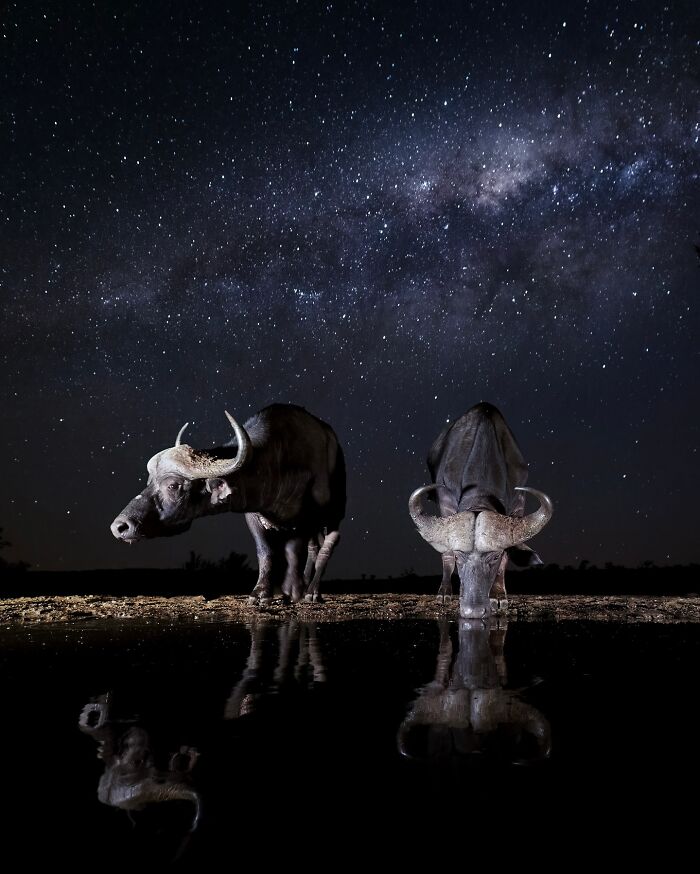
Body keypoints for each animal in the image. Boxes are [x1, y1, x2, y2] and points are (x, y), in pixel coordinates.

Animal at [110, 406, 348, 604]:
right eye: (149, 481)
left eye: (173, 485)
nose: (119, 527)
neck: (276, 464)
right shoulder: (254, 515)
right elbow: (266, 551)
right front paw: (261, 593)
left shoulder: (303, 518)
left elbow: (293, 550)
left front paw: (292, 589)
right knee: (314, 547)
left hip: (334, 516)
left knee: (327, 546)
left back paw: (312, 591)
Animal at [410, 402, 552, 620]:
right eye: (460, 556)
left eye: (494, 557)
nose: (473, 610)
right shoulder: (445, 503)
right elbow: (447, 554)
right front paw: (446, 593)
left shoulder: (518, 505)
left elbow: (507, 557)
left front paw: (498, 596)